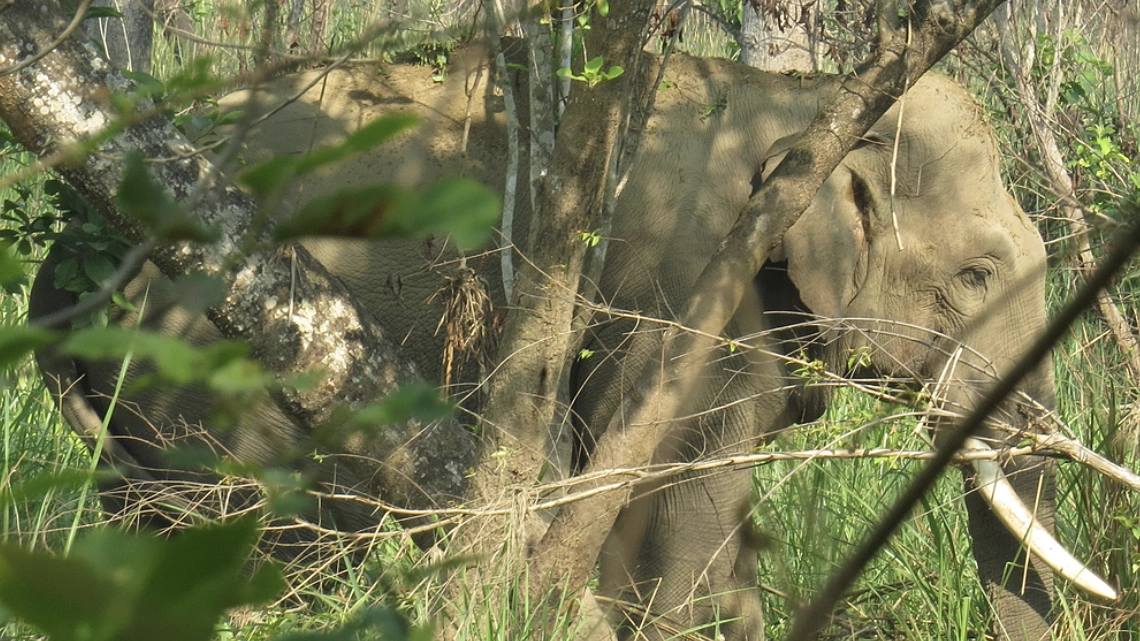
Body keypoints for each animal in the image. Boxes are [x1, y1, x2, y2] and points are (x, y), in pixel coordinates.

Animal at [28, 49, 1115, 640]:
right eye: (976, 275)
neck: (807, 100)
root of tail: (62, 263)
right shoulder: (680, 294)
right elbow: (682, 490)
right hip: (207, 362)